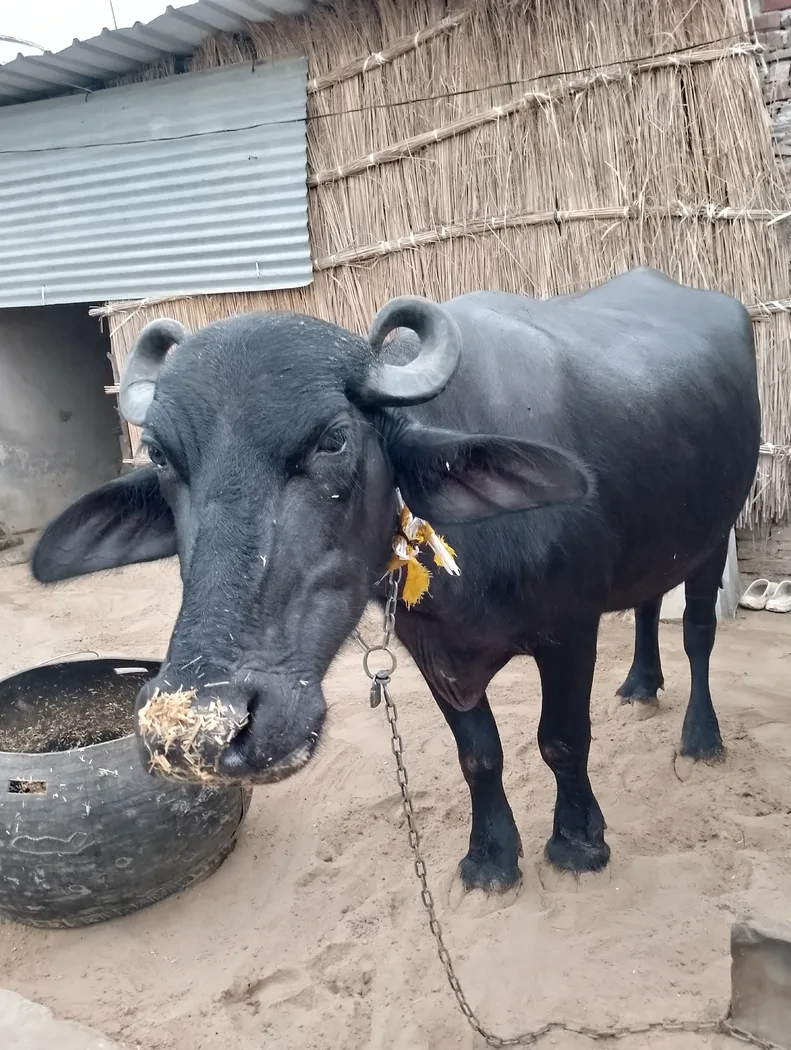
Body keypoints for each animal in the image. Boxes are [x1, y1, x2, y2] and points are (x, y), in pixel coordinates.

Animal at [33, 266, 760, 893]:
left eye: (332, 439)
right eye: (159, 455)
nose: (202, 735)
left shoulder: (569, 631)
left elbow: (561, 740)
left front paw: (578, 842)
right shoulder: (429, 651)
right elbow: (480, 754)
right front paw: (491, 856)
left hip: (716, 530)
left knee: (696, 633)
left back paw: (701, 736)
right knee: (647, 603)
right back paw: (639, 683)